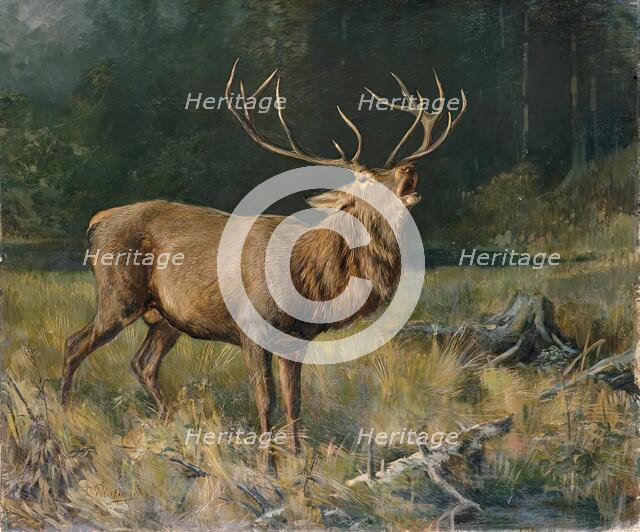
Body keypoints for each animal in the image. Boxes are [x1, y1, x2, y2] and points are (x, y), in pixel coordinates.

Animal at [60, 60, 466, 463]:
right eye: (364, 181)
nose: (408, 170)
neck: (311, 279)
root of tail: (96, 222)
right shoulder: (252, 328)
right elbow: (265, 399)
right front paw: (267, 463)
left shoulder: (297, 339)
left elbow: (293, 401)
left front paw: (298, 460)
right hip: (118, 296)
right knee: (74, 342)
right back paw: (62, 412)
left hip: (165, 318)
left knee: (142, 363)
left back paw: (164, 421)